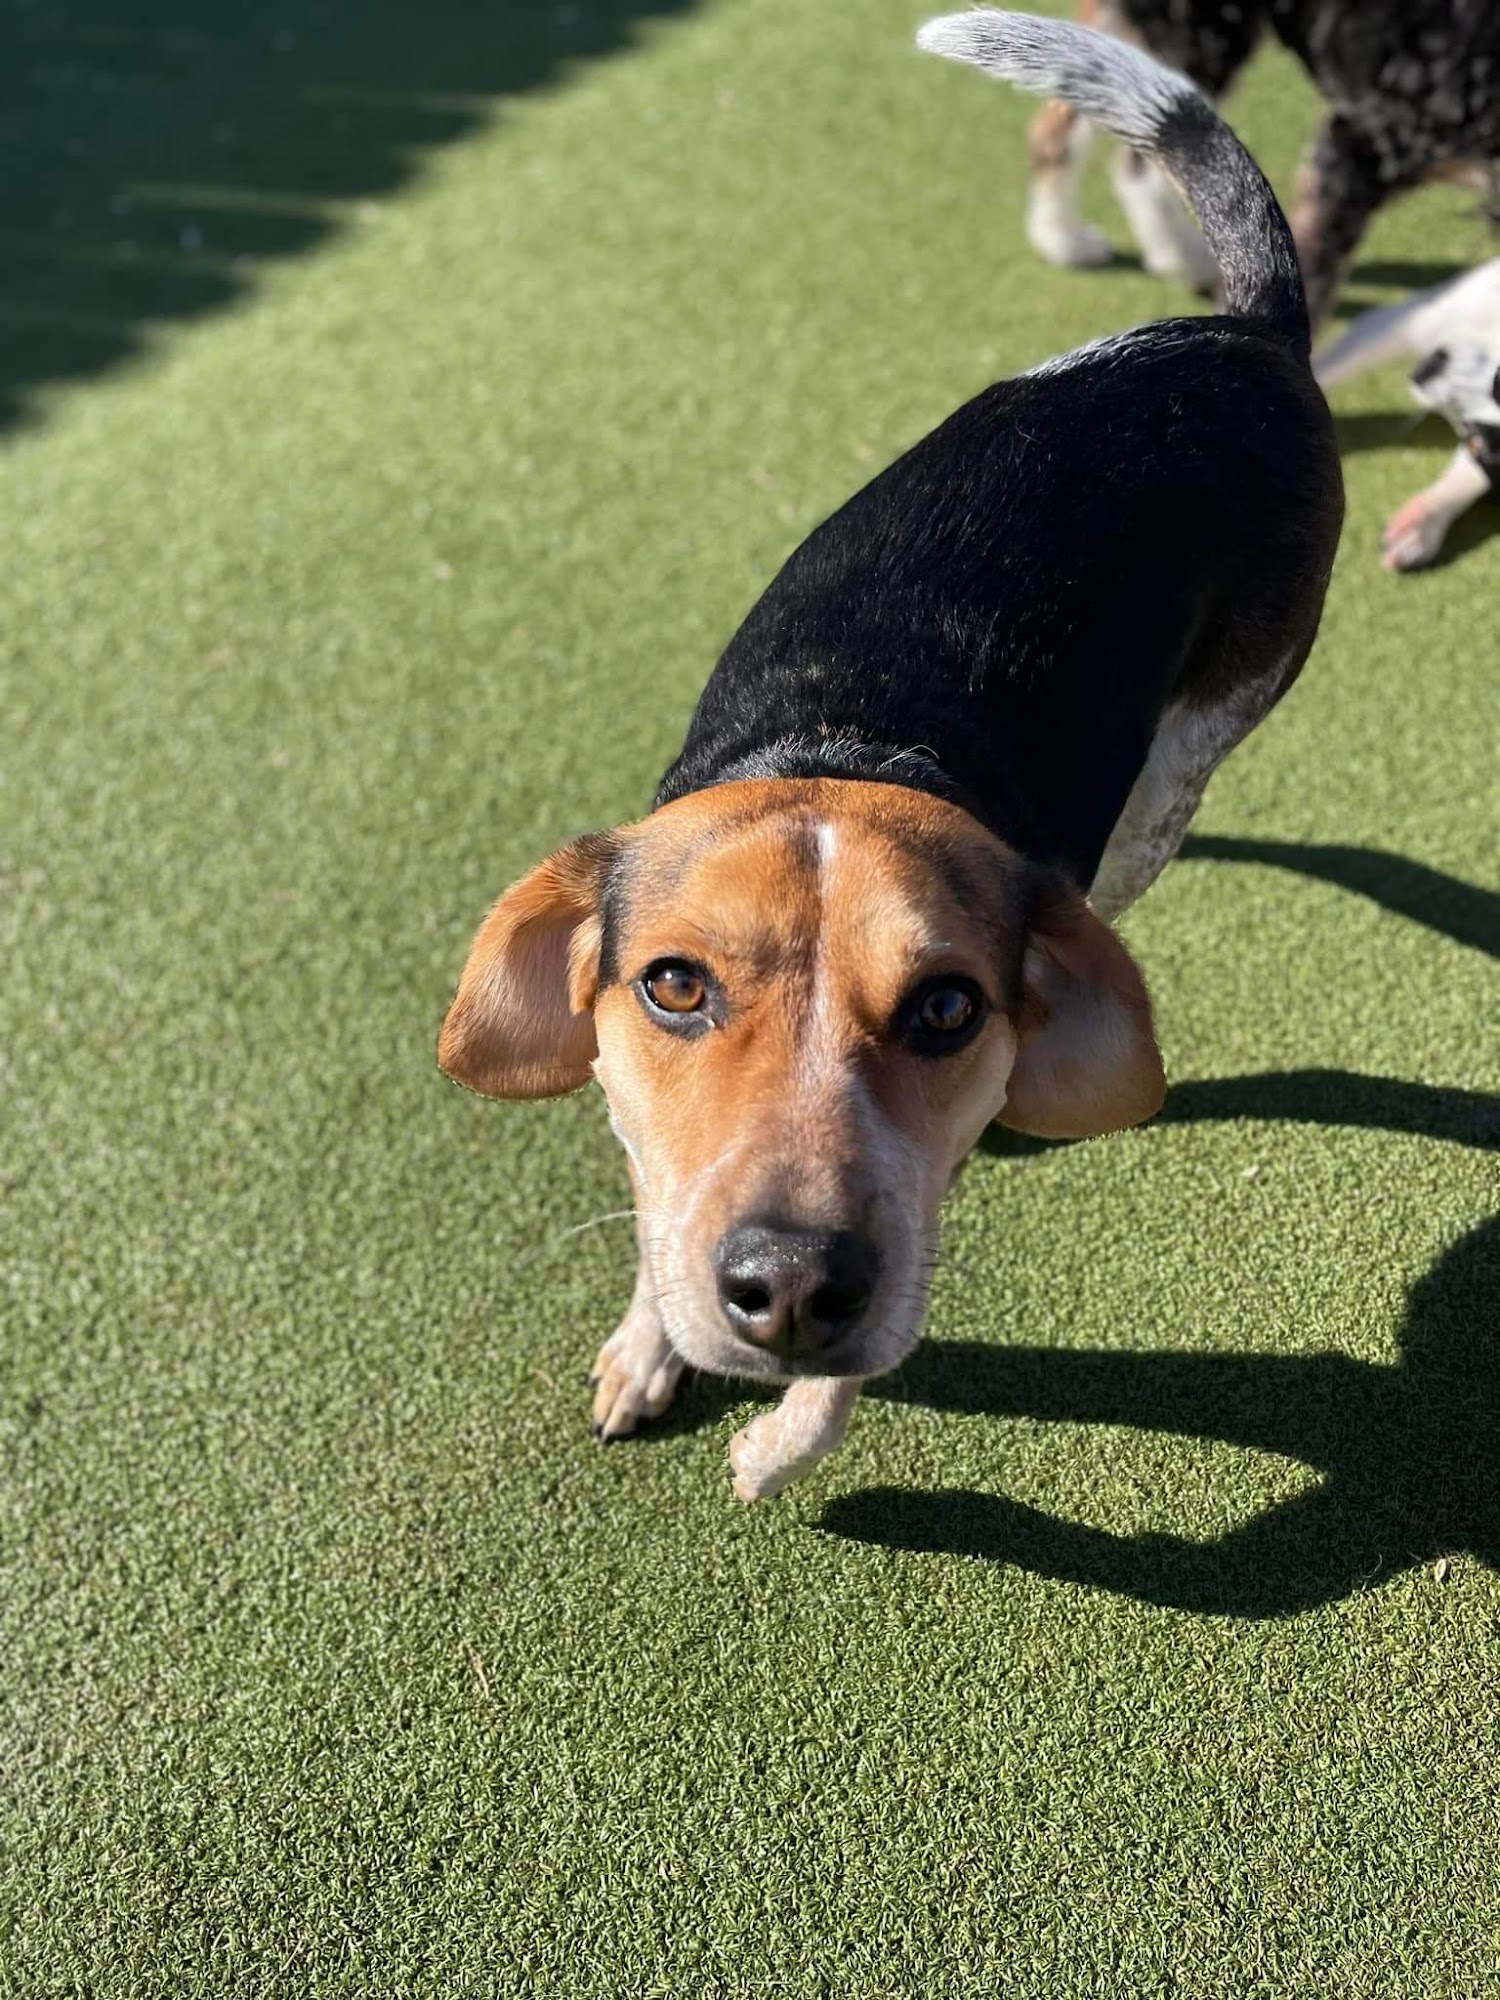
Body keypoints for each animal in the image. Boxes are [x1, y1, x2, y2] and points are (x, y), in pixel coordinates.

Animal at [440, 11, 1344, 1504]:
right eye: (672, 986)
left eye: (947, 1009)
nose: (795, 1289)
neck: (842, 745)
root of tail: (1248, 329)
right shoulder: (656, 1130)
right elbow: (661, 1205)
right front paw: (651, 1341)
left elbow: (846, 1377)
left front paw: (778, 1441)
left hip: (1187, 761)